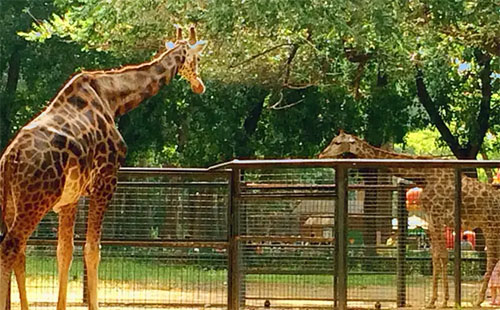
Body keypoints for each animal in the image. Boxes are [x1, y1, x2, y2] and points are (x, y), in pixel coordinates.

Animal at [0, 25, 207, 308]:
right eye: (197, 58)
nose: (200, 85)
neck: (113, 98)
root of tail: (11, 158)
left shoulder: (71, 198)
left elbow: (65, 251)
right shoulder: (106, 181)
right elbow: (92, 250)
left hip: (11, 203)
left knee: (18, 251)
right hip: (36, 201)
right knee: (10, 247)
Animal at [320, 130, 500, 308]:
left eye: (337, 142)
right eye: (333, 140)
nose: (321, 155)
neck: (423, 175)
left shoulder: (438, 216)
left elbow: (443, 255)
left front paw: (444, 301)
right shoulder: (431, 220)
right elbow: (435, 257)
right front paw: (432, 301)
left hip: (491, 225)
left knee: (492, 257)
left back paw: (478, 299)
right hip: (488, 226)